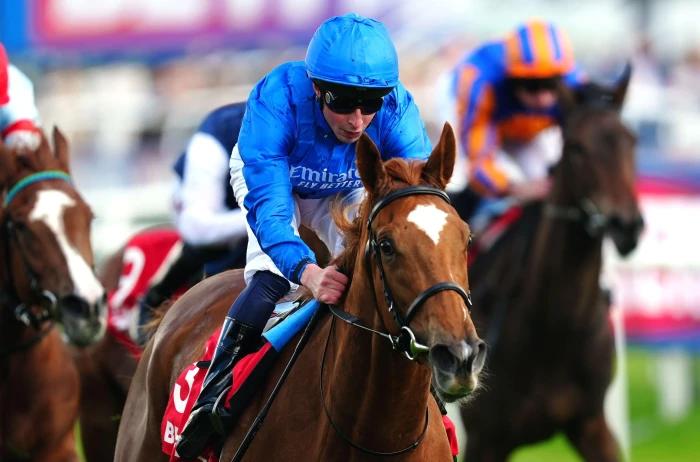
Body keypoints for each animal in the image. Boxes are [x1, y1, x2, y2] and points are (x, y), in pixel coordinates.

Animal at [456, 67, 644, 460]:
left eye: (631, 141)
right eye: (576, 148)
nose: (626, 225)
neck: (554, 326)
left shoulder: (592, 424)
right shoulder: (485, 439)